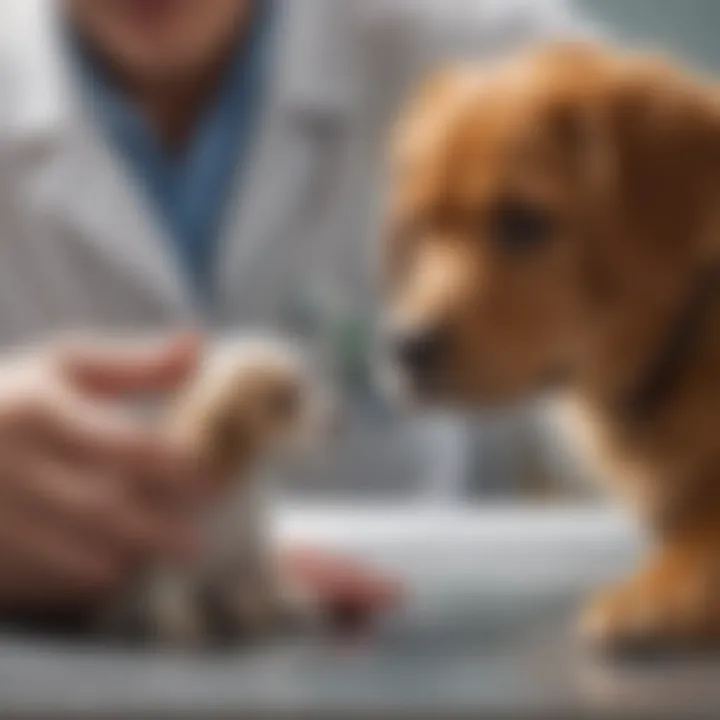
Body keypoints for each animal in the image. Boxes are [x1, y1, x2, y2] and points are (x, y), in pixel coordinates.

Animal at [105, 338, 336, 648]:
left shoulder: (246, 557)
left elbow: (249, 598)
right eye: (283, 402)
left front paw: (259, 618)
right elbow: (177, 603)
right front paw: (187, 633)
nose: (339, 421)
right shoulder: (175, 562)